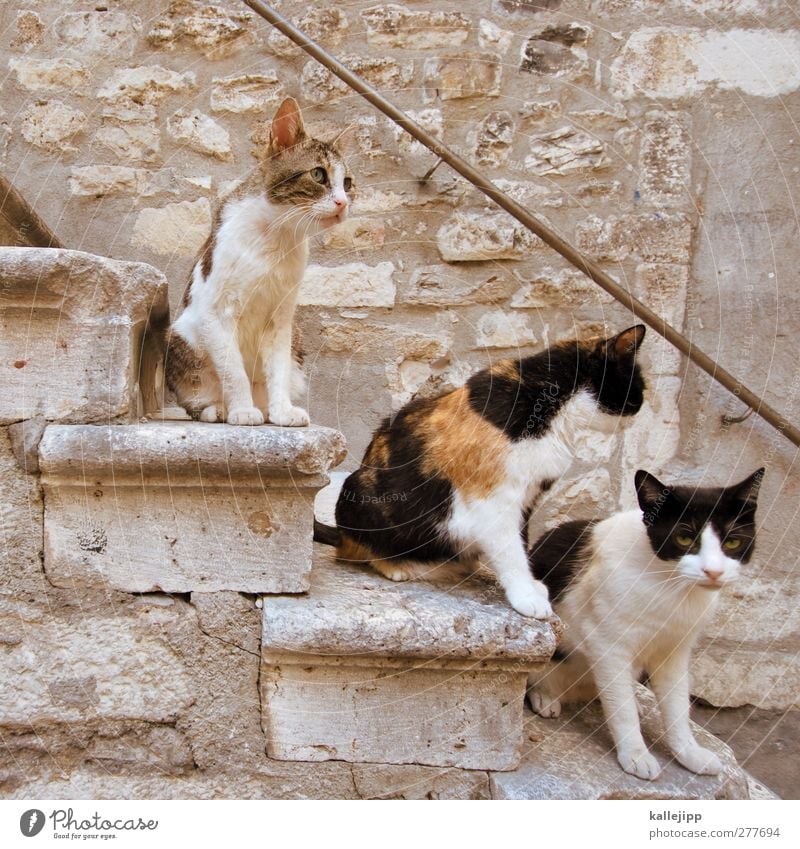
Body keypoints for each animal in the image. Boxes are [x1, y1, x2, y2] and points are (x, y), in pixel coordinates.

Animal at [166, 98, 354, 428]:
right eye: (318, 175)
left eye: (347, 182)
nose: (343, 203)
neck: (276, 237)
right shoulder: (215, 312)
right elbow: (234, 372)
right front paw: (242, 410)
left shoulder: (281, 318)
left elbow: (277, 370)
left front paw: (282, 411)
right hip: (180, 334)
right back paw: (218, 409)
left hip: (296, 338)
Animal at [310, 324, 648, 616]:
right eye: (638, 385)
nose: (641, 406)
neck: (551, 404)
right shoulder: (492, 497)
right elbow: (511, 550)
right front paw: (527, 597)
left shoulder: (528, 496)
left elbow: (522, 542)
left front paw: (531, 586)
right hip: (360, 492)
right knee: (358, 550)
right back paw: (399, 565)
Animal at [528, 468, 764, 780]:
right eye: (684, 538)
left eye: (733, 542)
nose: (713, 572)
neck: (673, 590)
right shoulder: (609, 646)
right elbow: (623, 710)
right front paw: (636, 755)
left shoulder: (674, 651)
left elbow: (677, 707)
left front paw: (689, 753)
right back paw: (545, 696)